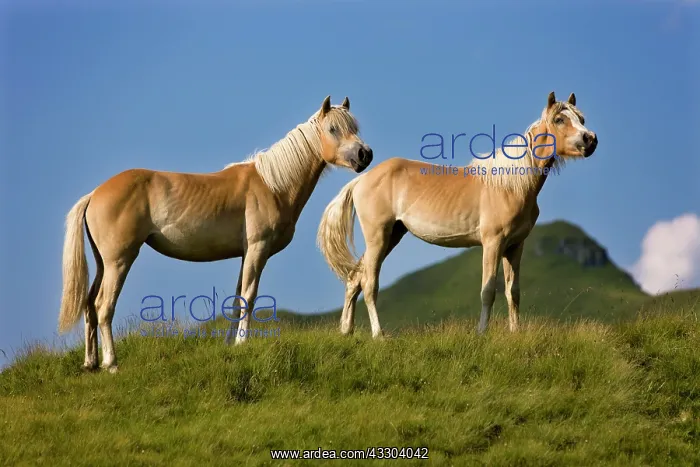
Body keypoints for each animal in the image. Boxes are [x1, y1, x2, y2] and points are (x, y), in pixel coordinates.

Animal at [58, 96, 373, 372]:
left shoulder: (246, 254)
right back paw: (111, 364)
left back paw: (90, 363)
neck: (272, 185)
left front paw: (230, 345)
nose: (364, 154)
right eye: (333, 129)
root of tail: (95, 194)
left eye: (355, 128)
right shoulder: (257, 249)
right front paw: (242, 343)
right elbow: (249, 296)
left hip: (103, 262)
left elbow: (236, 300)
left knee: (89, 305)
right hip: (119, 261)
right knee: (103, 306)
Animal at [317, 91, 598, 338]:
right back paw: (378, 335)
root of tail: (361, 180)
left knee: (355, 279)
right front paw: (482, 333)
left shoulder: (515, 246)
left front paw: (515, 333)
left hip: (392, 235)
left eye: (581, 118)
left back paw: (347, 330)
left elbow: (513, 292)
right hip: (378, 237)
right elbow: (488, 290)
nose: (590, 139)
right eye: (560, 119)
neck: (509, 185)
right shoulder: (493, 243)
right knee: (369, 284)